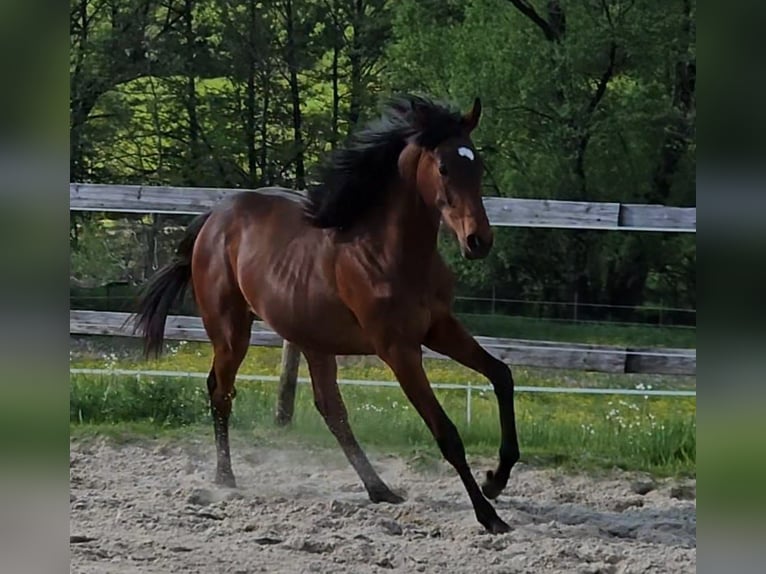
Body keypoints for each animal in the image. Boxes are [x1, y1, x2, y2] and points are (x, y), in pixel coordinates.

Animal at [136, 94, 520, 536]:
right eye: (442, 167)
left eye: (477, 164)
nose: (479, 241)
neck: (389, 253)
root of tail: (213, 218)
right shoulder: (399, 350)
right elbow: (447, 433)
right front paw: (489, 514)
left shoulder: (439, 328)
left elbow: (502, 376)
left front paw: (496, 480)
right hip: (232, 332)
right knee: (221, 390)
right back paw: (225, 478)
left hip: (313, 341)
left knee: (330, 408)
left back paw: (380, 489)